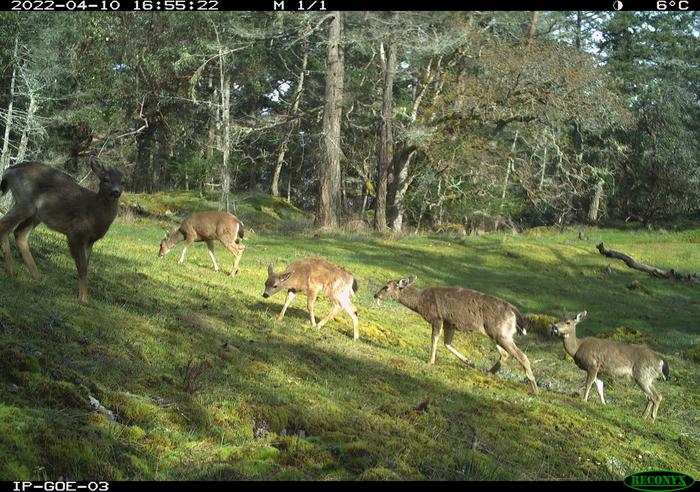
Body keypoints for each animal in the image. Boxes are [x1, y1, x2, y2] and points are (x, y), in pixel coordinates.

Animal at [0, 157, 123, 302]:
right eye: (106, 179)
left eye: (123, 182)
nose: (116, 192)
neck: (94, 214)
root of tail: (9, 170)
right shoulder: (75, 232)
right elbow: (82, 267)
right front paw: (83, 298)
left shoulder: (90, 240)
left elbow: (86, 266)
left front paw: (81, 295)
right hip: (26, 202)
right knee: (4, 226)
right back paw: (12, 270)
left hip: (36, 214)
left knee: (19, 233)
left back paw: (36, 277)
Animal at [374, 276, 538, 394]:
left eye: (386, 286)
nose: (376, 295)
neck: (420, 303)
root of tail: (514, 312)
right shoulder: (449, 323)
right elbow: (447, 343)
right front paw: (469, 362)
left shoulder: (437, 317)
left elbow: (434, 339)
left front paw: (430, 361)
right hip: (498, 333)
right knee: (505, 353)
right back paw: (489, 372)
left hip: (499, 332)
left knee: (522, 356)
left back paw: (535, 388)